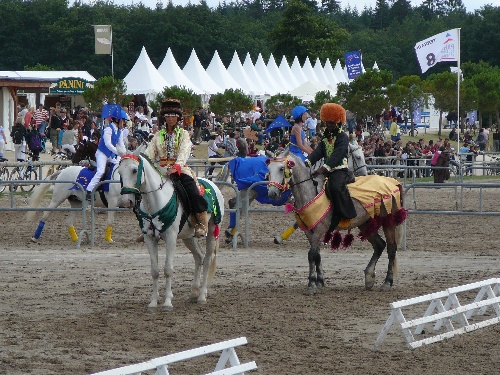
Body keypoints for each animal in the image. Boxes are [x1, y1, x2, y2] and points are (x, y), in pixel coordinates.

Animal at [115, 154, 225, 310]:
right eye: (119, 172)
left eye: (134, 170)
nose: (125, 201)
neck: (155, 202)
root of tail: (213, 185)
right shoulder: (149, 239)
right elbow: (154, 271)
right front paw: (153, 302)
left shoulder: (171, 238)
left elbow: (168, 269)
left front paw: (167, 302)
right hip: (188, 237)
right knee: (199, 257)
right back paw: (193, 293)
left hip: (212, 231)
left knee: (208, 259)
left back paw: (202, 295)